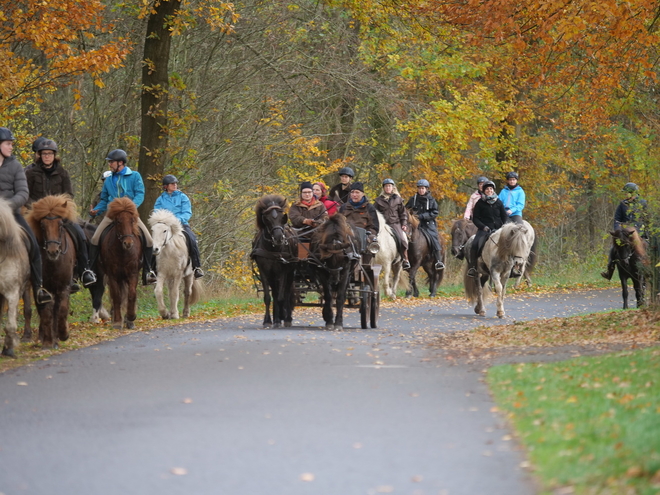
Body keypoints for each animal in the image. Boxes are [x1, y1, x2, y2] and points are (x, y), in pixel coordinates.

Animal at [26, 194, 80, 348]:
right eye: (42, 226)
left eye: (60, 225)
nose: (53, 251)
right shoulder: (43, 289)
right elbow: (46, 313)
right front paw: (48, 341)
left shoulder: (64, 286)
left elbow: (61, 310)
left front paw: (63, 334)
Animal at [100, 197, 142, 330]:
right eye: (118, 222)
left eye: (132, 220)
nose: (128, 243)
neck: (123, 252)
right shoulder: (112, 275)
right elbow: (117, 297)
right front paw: (118, 321)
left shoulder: (133, 273)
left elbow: (132, 294)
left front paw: (131, 317)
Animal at [251, 195, 298, 330]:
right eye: (266, 218)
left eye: (283, 216)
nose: (278, 238)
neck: (272, 248)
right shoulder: (263, 271)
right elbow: (268, 297)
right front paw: (267, 321)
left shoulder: (283, 271)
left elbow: (281, 297)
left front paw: (278, 320)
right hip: (272, 276)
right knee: (276, 293)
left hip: (290, 272)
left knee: (286, 293)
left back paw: (286, 319)